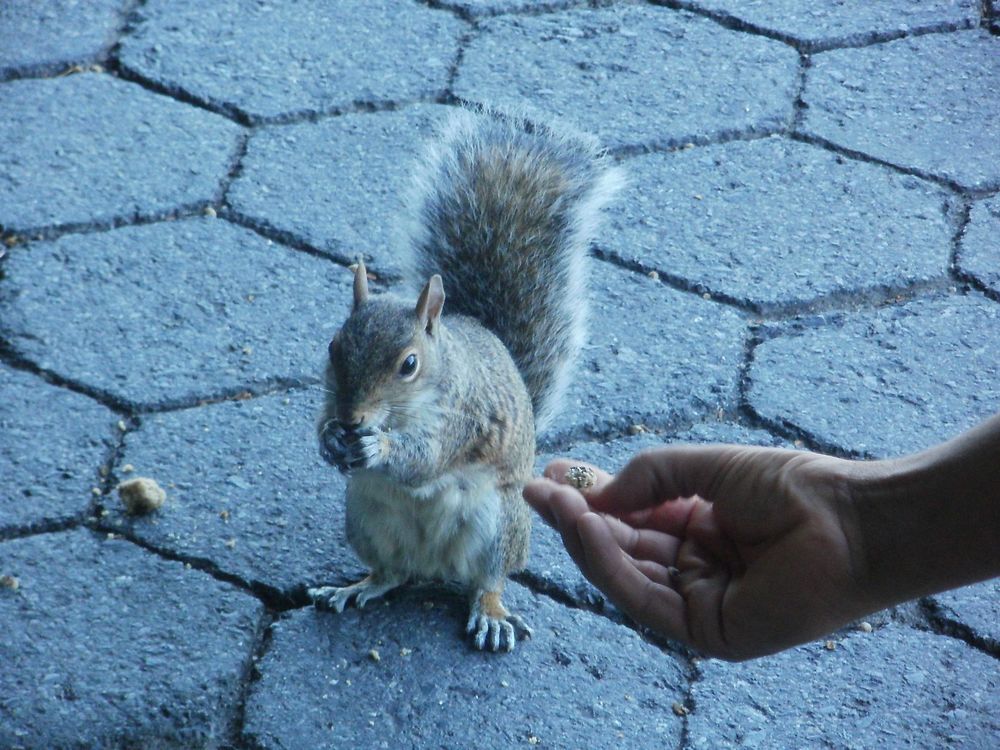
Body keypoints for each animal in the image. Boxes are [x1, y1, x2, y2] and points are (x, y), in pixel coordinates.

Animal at [308, 106, 620, 652]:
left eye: (409, 364)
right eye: (332, 346)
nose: (351, 417)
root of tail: (434, 565)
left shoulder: (464, 418)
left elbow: (425, 460)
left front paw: (378, 448)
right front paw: (329, 439)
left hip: (497, 525)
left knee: (488, 580)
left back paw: (491, 614)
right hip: (366, 518)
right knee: (391, 573)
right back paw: (355, 588)